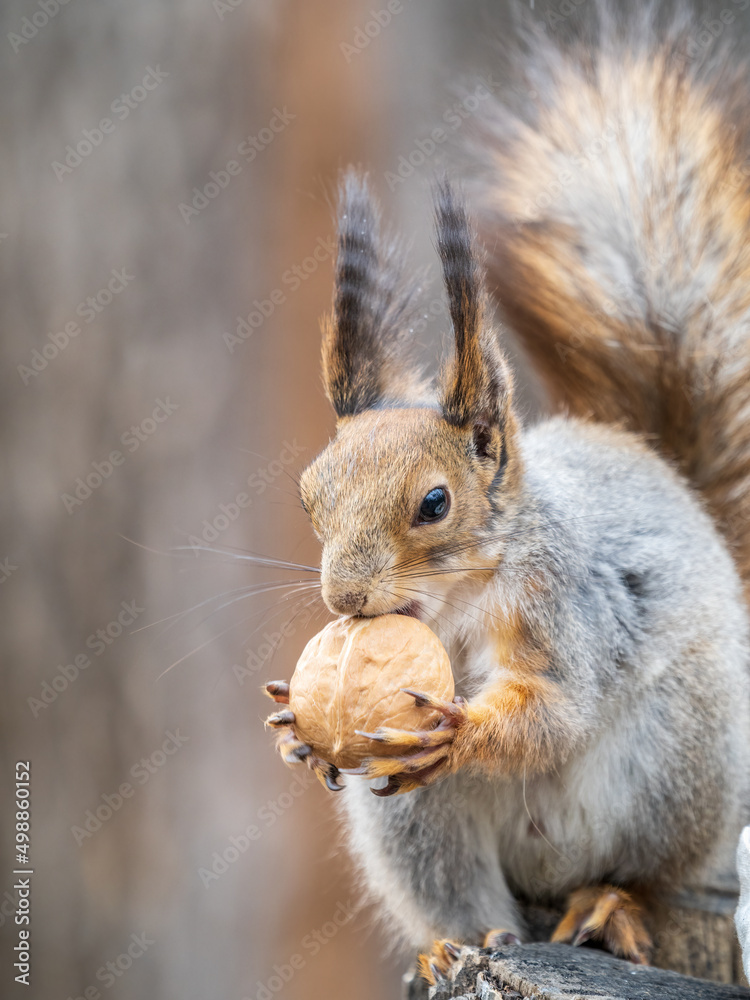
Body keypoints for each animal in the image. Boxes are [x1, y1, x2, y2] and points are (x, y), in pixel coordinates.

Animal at [265, 2, 750, 985]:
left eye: (435, 503)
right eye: (309, 497)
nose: (344, 598)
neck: (451, 603)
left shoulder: (564, 604)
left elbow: (556, 709)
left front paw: (459, 734)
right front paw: (295, 723)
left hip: (675, 763)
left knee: (646, 873)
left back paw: (611, 904)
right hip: (411, 820)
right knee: (464, 894)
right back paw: (458, 944)